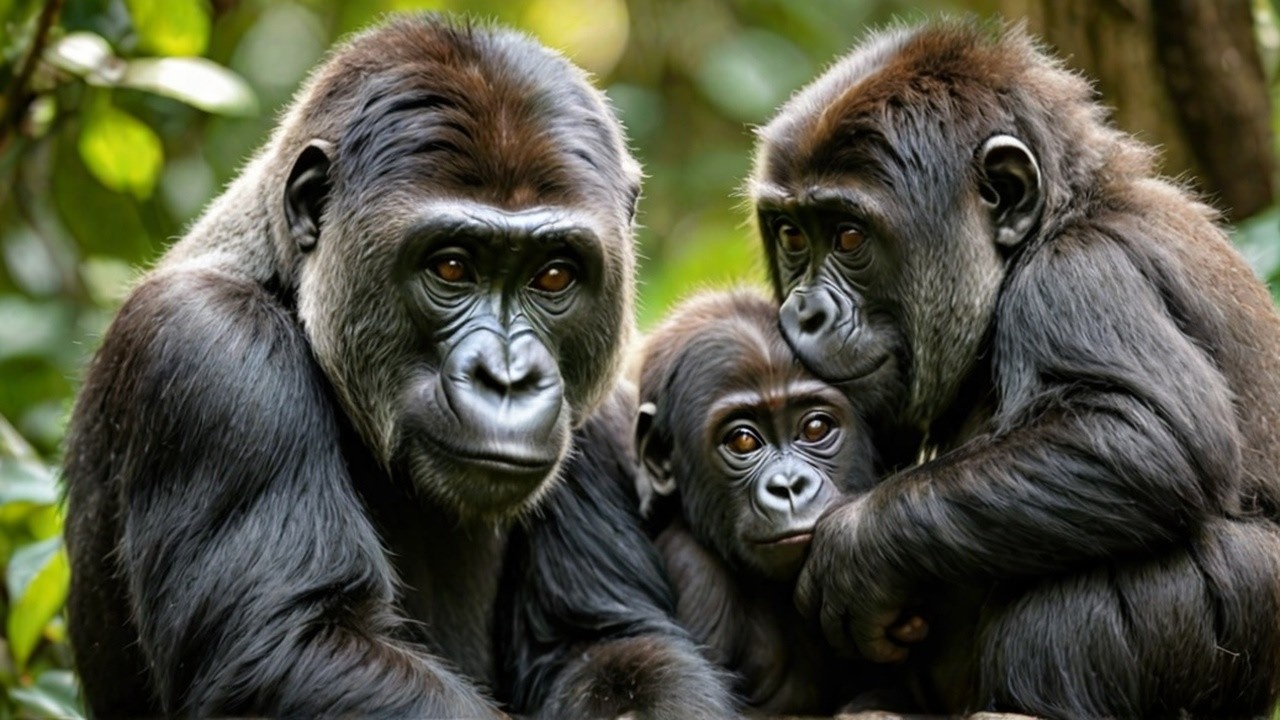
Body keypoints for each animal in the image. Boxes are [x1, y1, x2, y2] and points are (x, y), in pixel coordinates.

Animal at [62, 15, 734, 718]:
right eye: (451, 267)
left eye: (554, 276)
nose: (508, 377)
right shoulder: (209, 345)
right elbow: (293, 644)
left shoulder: (605, 395)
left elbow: (607, 643)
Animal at [748, 18, 1280, 719]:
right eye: (791, 236)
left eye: (849, 237)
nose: (804, 311)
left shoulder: (1079, 273)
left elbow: (1144, 433)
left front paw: (856, 551)